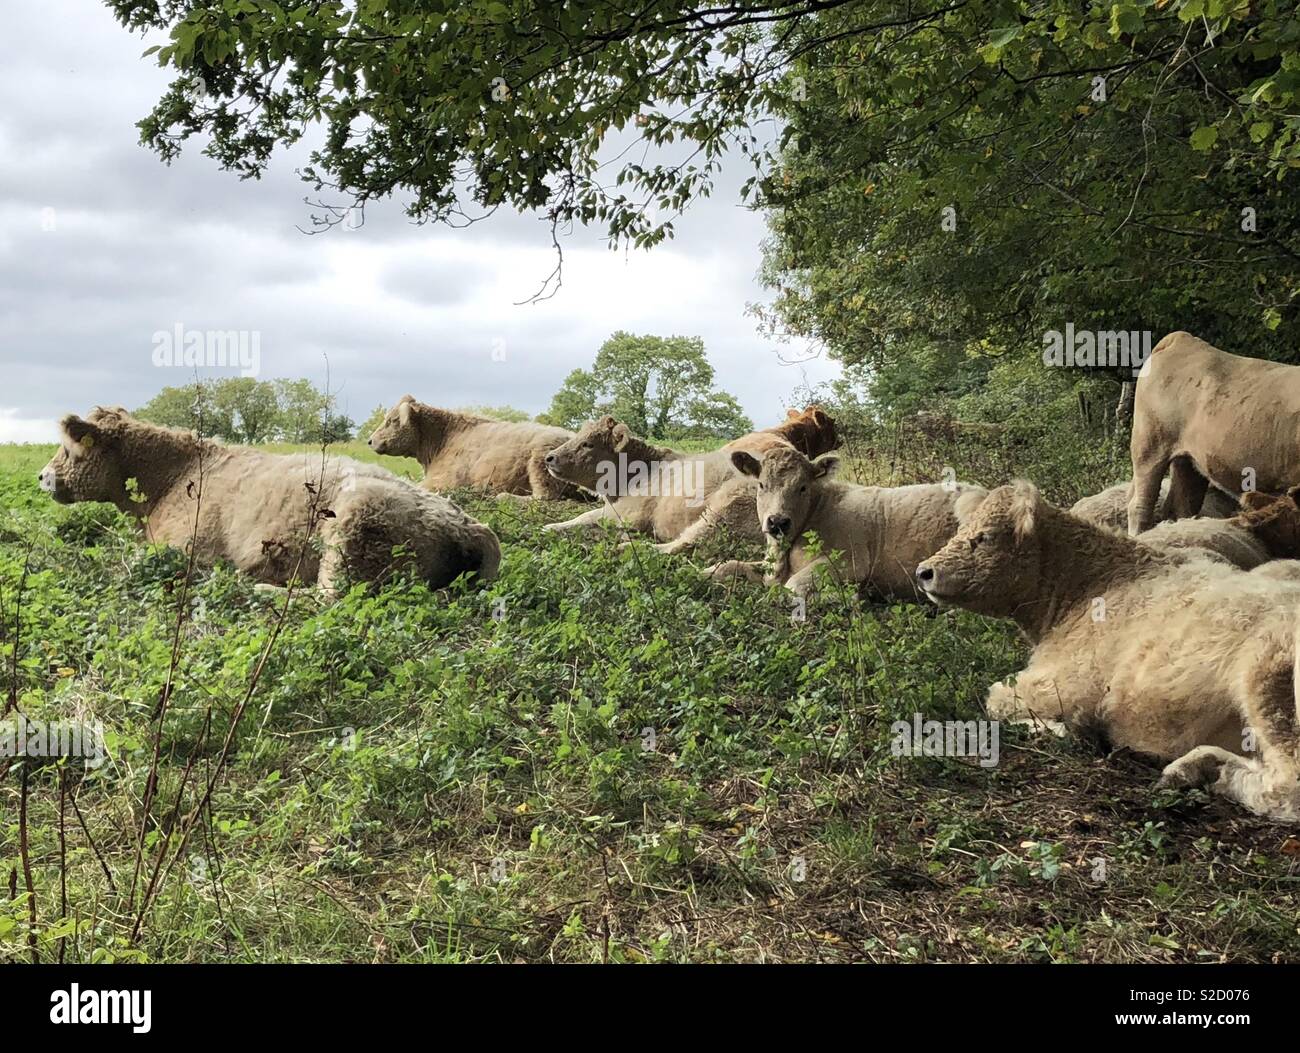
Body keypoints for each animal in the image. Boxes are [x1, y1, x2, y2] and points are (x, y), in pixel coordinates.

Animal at [39, 408, 496, 595]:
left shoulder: (184, 548)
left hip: (350, 532)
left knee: (329, 600)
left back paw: (258, 586)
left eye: (68, 449)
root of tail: (473, 527)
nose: (41, 476)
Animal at [371, 395, 585, 499]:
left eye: (392, 420)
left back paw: (502, 496)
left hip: (540, 464)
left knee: (544, 497)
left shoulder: (440, 481)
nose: (370, 440)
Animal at [722, 441, 982, 598]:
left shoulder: (850, 561)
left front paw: (847, 596)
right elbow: (727, 565)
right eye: (761, 485)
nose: (777, 522)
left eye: (803, 487)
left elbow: (793, 586)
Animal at [915, 480, 1300, 821]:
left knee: (1287, 789)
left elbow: (996, 698)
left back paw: (1210, 770)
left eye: (986, 537)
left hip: (1268, 689)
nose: (924, 571)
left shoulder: (1064, 687)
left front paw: (1060, 731)